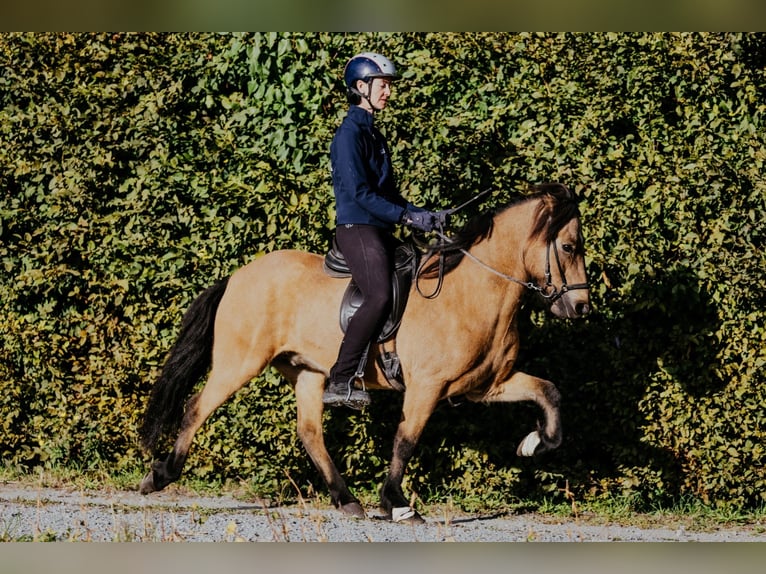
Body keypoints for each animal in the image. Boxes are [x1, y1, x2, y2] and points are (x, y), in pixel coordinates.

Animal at [137, 182, 591, 523]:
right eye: (570, 247)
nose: (581, 308)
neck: (475, 291)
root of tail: (237, 276)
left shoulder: (486, 385)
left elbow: (549, 392)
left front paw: (533, 444)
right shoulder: (426, 386)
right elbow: (406, 440)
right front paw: (397, 504)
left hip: (309, 371)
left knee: (309, 432)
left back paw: (347, 499)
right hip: (241, 362)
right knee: (197, 407)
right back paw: (159, 475)